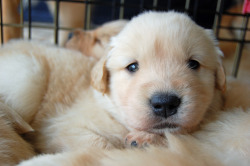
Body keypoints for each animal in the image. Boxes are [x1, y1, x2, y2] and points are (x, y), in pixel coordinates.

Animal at [0, 11, 234, 165]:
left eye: (194, 64)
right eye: (132, 66)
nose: (166, 103)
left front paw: (145, 140)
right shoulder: (59, 127)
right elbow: (100, 145)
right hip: (28, 75)